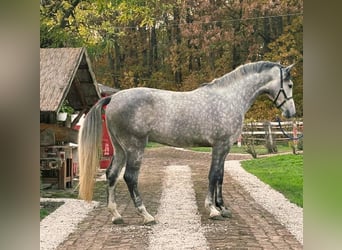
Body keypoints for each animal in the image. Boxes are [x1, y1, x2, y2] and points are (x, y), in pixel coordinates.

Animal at [78, 60, 296, 225]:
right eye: (290, 85)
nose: (291, 113)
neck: (229, 98)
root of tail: (114, 98)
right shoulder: (220, 146)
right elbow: (213, 176)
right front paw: (213, 210)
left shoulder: (225, 148)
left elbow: (220, 176)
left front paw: (223, 208)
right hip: (135, 147)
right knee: (130, 178)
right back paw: (146, 215)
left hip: (120, 149)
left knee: (112, 175)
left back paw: (116, 215)